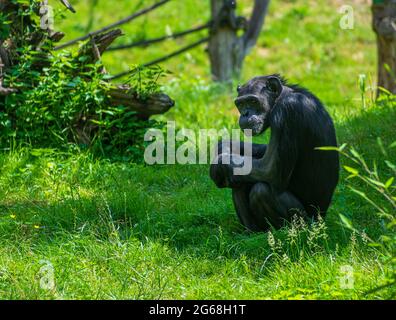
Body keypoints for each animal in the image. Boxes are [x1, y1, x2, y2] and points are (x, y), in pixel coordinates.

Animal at [210, 74, 340, 231]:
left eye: (253, 101)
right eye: (240, 103)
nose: (246, 113)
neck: (281, 98)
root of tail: (321, 219)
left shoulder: (287, 112)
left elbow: (270, 169)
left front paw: (220, 163)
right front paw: (227, 145)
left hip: (304, 220)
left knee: (261, 190)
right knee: (239, 180)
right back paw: (251, 231)